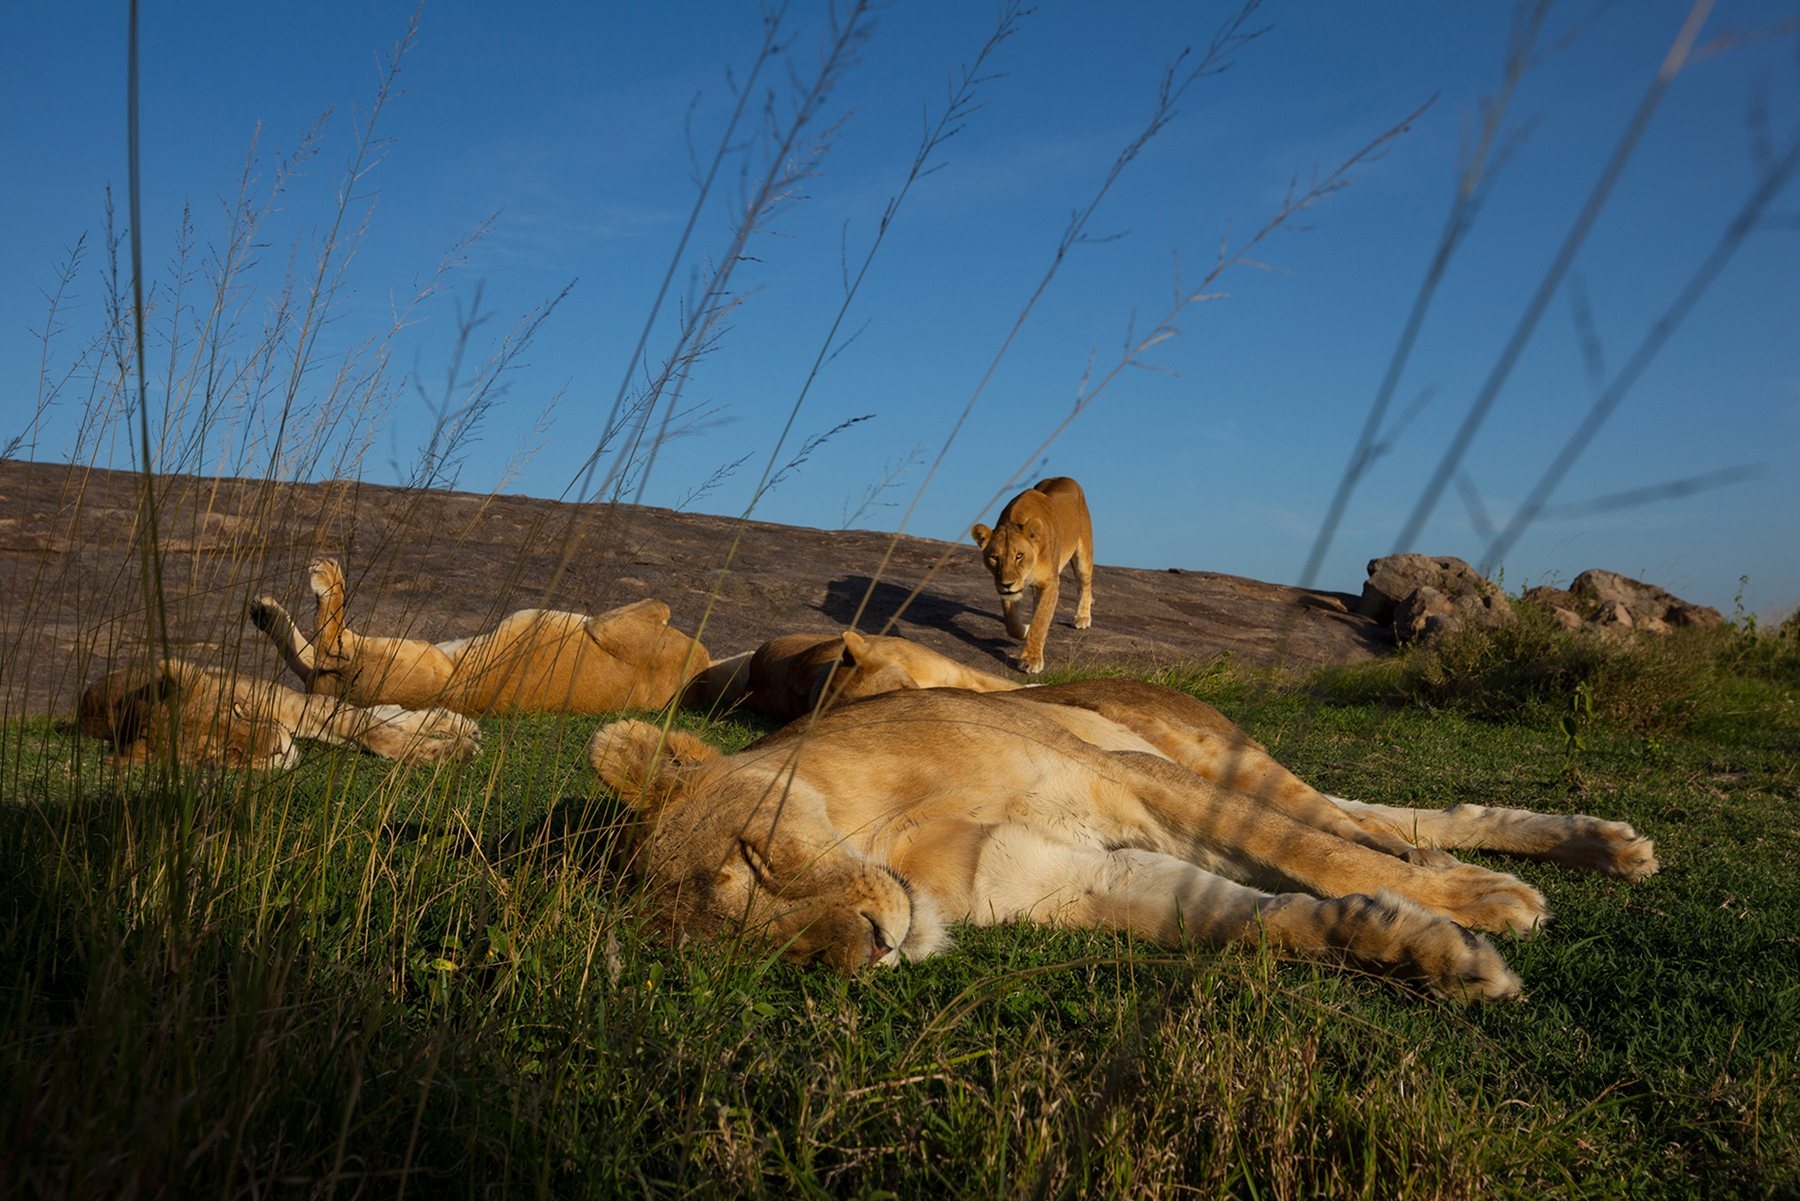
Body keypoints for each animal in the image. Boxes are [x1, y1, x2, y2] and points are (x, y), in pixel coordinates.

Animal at [253, 561, 702, 720]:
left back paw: (323, 579)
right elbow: (662, 602)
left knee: (331, 646)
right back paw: (265, 611)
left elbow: (660, 603)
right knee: (313, 657)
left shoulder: (617, 630)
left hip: (416, 661)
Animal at [604, 633, 1656, 1001]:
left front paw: (1476, 915)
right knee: (1399, 817)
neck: (892, 833)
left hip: (1212, 759)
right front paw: (1434, 956)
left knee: (1343, 824)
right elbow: (1265, 920)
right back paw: (1602, 846)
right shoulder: (1075, 878)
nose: (873, 946)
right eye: (756, 953)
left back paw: (1508, 874)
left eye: (752, 855)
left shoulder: (1128, 781)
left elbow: (1310, 859)